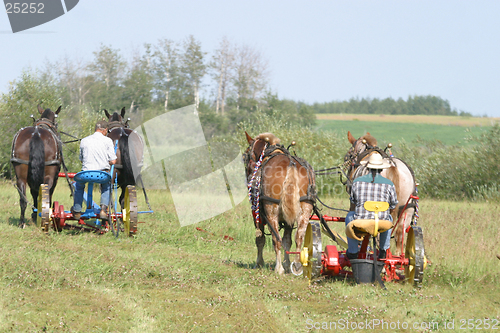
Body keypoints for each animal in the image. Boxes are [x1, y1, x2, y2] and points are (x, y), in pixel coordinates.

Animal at [243, 131, 316, 274]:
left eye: (245, 156)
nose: (248, 176)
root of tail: (291, 165)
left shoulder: (256, 212)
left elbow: (260, 238)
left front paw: (259, 263)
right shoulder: (289, 217)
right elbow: (287, 241)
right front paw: (287, 264)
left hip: (271, 210)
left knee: (276, 239)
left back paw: (278, 268)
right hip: (305, 208)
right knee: (299, 237)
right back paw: (297, 265)